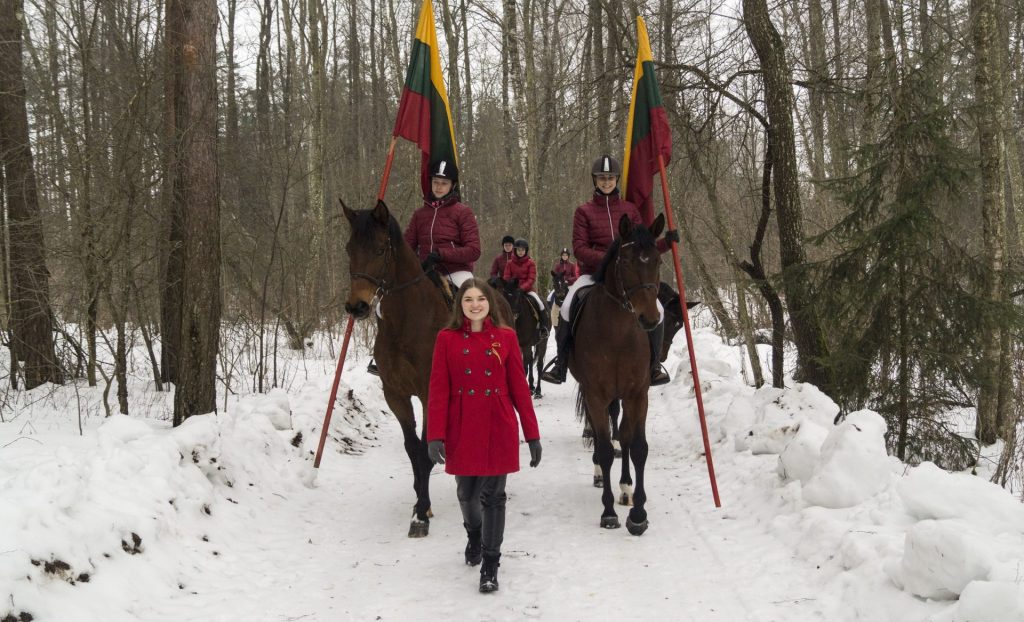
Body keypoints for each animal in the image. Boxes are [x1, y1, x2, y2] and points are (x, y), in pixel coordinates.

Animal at [342, 198, 446, 536]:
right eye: (349, 249)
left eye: (379, 249)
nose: (357, 306)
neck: (407, 321)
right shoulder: (396, 394)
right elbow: (413, 449)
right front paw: (420, 503)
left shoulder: (428, 392)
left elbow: (424, 449)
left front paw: (421, 515)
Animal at [569, 214, 663, 536]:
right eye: (626, 261)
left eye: (658, 260)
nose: (650, 319)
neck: (618, 334)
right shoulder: (596, 394)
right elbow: (606, 448)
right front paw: (608, 512)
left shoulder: (638, 394)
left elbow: (636, 446)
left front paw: (638, 513)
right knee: (603, 439)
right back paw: (601, 476)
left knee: (622, 433)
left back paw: (625, 488)